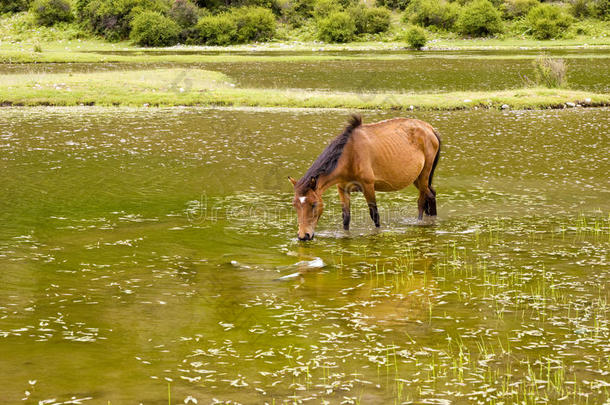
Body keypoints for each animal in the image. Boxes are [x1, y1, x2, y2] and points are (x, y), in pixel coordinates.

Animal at [288, 113, 440, 240]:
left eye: (313, 204)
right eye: (294, 205)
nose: (303, 236)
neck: (349, 156)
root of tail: (430, 129)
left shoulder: (368, 187)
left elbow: (375, 215)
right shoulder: (342, 189)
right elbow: (346, 218)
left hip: (424, 175)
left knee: (421, 201)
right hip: (417, 178)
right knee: (431, 194)